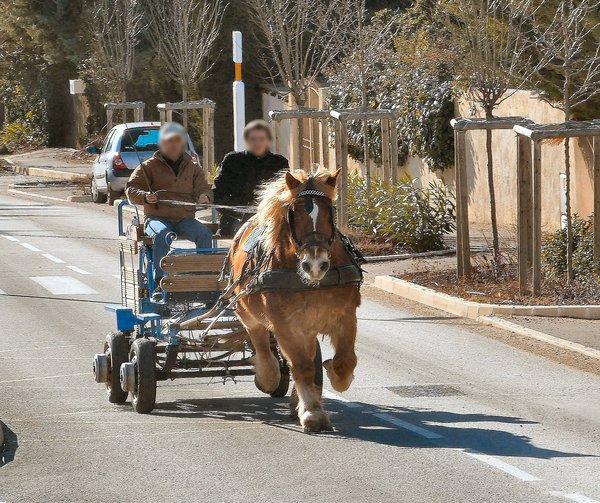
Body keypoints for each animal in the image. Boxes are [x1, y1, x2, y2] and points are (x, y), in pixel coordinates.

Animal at [229, 168, 360, 434]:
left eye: (329, 211)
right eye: (294, 212)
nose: (315, 265)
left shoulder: (346, 316)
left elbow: (344, 361)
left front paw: (332, 375)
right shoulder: (285, 326)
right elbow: (301, 367)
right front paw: (312, 412)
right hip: (248, 313)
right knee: (261, 342)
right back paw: (268, 376)